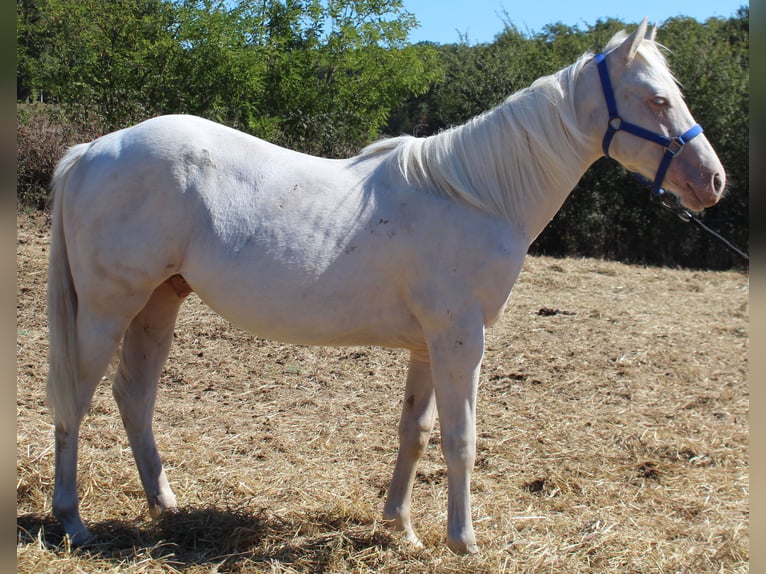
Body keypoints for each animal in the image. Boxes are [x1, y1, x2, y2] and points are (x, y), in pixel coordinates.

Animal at [46, 19, 725, 554]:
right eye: (656, 100)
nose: (712, 181)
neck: (479, 196)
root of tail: (90, 152)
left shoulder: (428, 345)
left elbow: (415, 433)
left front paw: (401, 526)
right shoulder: (460, 341)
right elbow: (460, 438)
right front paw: (462, 541)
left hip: (159, 302)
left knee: (134, 396)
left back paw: (164, 504)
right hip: (107, 308)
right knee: (75, 399)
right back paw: (73, 521)